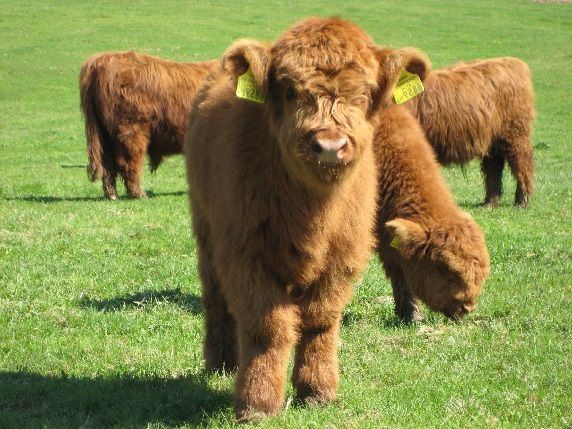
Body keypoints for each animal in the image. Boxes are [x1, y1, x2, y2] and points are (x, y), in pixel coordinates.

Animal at [78, 50, 217, 199]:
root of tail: (101, 59)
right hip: (131, 129)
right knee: (128, 162)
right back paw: (138, 194)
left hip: (103, 134)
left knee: (107, 164)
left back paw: (112, 195)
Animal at [185, 17, 432, 422]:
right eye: (288, 90)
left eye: (364, 94)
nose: (329, 146)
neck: (312, 213)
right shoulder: (244, 254)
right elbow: (268, 326)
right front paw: (257, 402)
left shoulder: (343, 258)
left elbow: (320, 319)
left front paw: (317, 391)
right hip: (207, 232)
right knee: (215, 295)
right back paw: (222, 362)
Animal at [402, 56, 536, 207]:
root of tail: (513, 61)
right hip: (493, 139)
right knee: (494, 167)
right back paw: (490, 203)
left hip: (515, 133)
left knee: (522, 162)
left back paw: (521, 201)